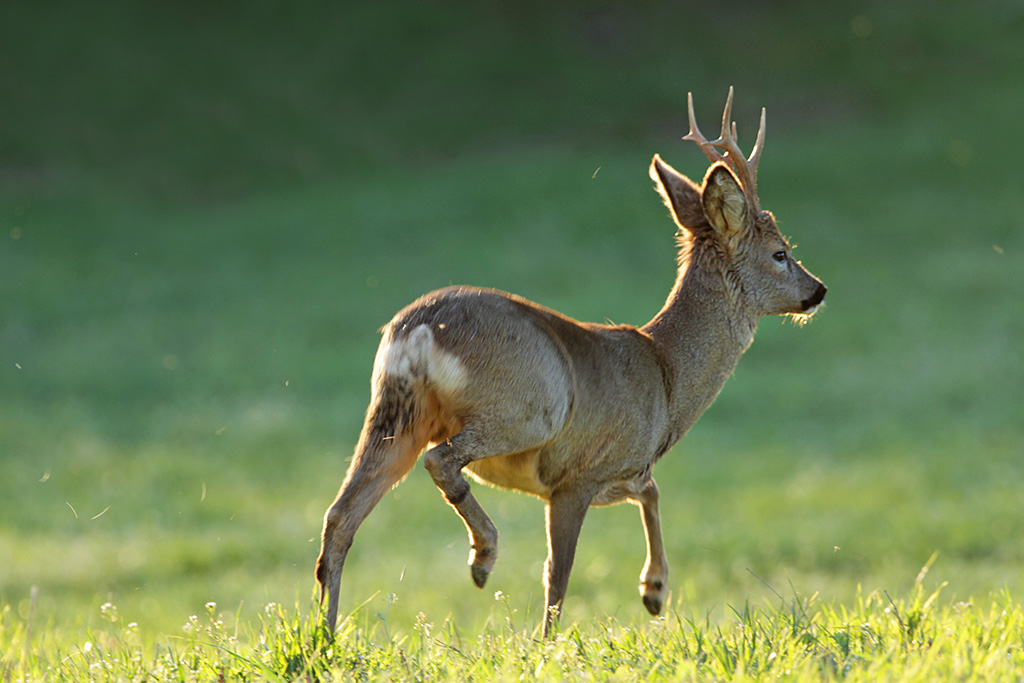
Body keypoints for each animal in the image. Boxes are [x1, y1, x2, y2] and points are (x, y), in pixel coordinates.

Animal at [315, 88, 827, 638]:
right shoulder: (576, 474)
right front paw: (550, 641)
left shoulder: (621, 469)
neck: (665, 378)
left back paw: (325, 637)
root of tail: (419, 329)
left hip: (394, 414)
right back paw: (483, 555)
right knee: (441, 460)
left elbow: (652, 493)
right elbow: (558, 573)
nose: (818, 290)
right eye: (781, 253)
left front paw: (654, 592)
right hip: (526, 409)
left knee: (339, 517)